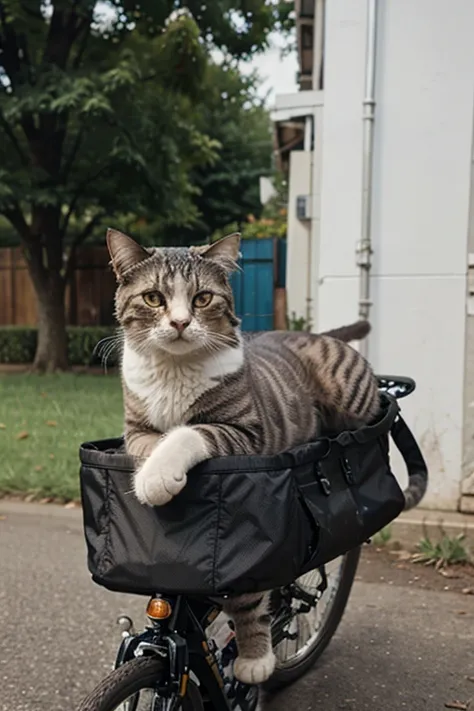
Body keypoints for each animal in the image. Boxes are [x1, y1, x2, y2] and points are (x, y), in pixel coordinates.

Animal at [107, 228, 382, 684]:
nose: (180, 322)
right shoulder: (137, 429)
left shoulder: (246, 433)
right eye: (153, 298)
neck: (175, 372)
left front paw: (254, 657)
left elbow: (189, 432)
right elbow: (152, 444)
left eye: (202, 298)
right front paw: (149, 476)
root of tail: (311, 333)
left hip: (352, 394)